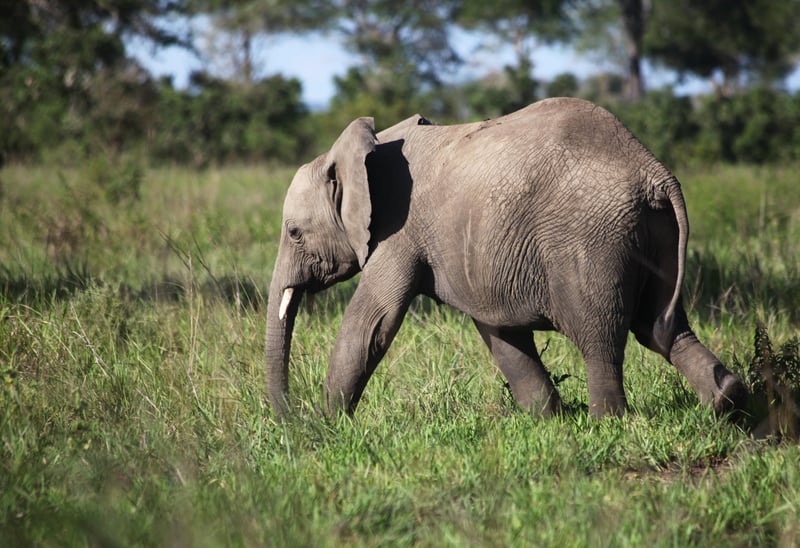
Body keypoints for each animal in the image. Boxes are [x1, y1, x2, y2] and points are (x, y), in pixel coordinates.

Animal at [266, 97, 746, 419]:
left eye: (294, 233)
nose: (291, 420)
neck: (366, 145)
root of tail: (654, 172)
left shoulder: (396, 232)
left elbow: (372, 323)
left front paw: (327, 427)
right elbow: (499, 331)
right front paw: (547, 419)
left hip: (592, 241)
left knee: (600, 335)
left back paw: (607, 422)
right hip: (652, 234)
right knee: (662, 326)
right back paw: (727, 399)